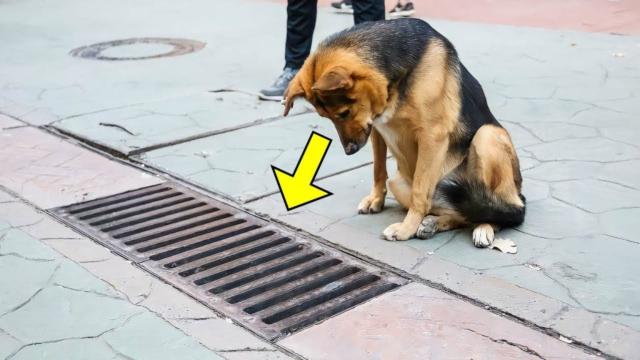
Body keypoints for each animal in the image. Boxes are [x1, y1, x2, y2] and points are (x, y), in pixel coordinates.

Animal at [282, 17, 524, 248]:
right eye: (327, 117)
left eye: (343, 113)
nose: (350, 151)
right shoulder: (376, 129)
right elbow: (378, 170)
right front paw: (376, 200)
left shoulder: (431, 136)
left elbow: (420, 191)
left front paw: (406, 229)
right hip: (401, 184)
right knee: (459, 214)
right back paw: (432, 224)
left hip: (487, 136)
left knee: (503, 212)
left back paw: (483, 227)